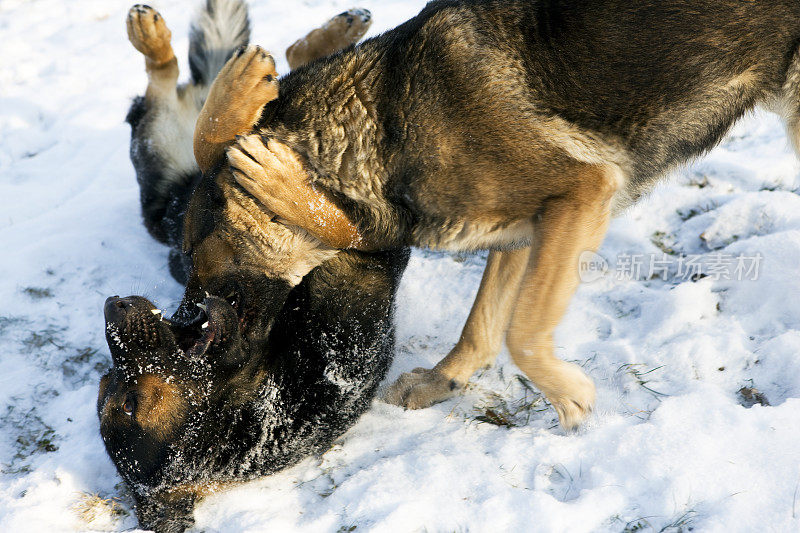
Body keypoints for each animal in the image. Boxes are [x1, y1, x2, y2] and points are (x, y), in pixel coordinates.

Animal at [100, 2, 406, 528]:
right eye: (125, 399)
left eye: (107, 383)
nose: (111, 305)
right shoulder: (355, 273)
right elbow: (344, 227)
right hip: (162, 158)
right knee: (181, 106)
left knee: (188, 87)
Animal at [178, 0, 800, 430]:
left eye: (200, 264)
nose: (189, 330)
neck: (383, 125)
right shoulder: (525, 231)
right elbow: (484, 323)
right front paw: (445, 379)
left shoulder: (580, 194)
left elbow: (522, 331)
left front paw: (571, 398)